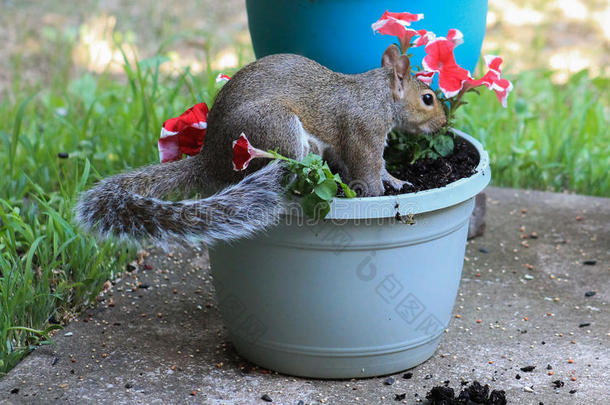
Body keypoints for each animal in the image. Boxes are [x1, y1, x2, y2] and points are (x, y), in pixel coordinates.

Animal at [77, 45, 446, 245]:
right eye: (427, 98)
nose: (444, 123)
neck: (378, 94)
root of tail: (209, 157)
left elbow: (378, 167)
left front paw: (397, 180)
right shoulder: (362, 133)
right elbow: (367, 169)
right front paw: (378, 194)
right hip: (276, 128)